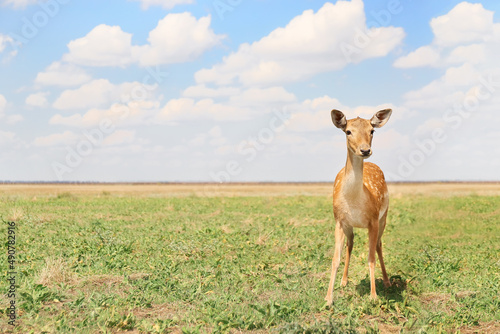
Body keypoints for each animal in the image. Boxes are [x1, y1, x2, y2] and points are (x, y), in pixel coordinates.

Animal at [326, 107, 392, 306]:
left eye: (372, 131)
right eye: (348, 131)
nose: (365, 150)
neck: (355, 200)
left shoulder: (373, 220)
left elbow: (370, 258)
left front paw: (373, 296)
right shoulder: (339, 221)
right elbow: (335, 258)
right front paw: (328, 298)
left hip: (384, 217)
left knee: (378, 245)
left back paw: (387, 282)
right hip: (350, 226)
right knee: (350, 244)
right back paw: (344, 280)